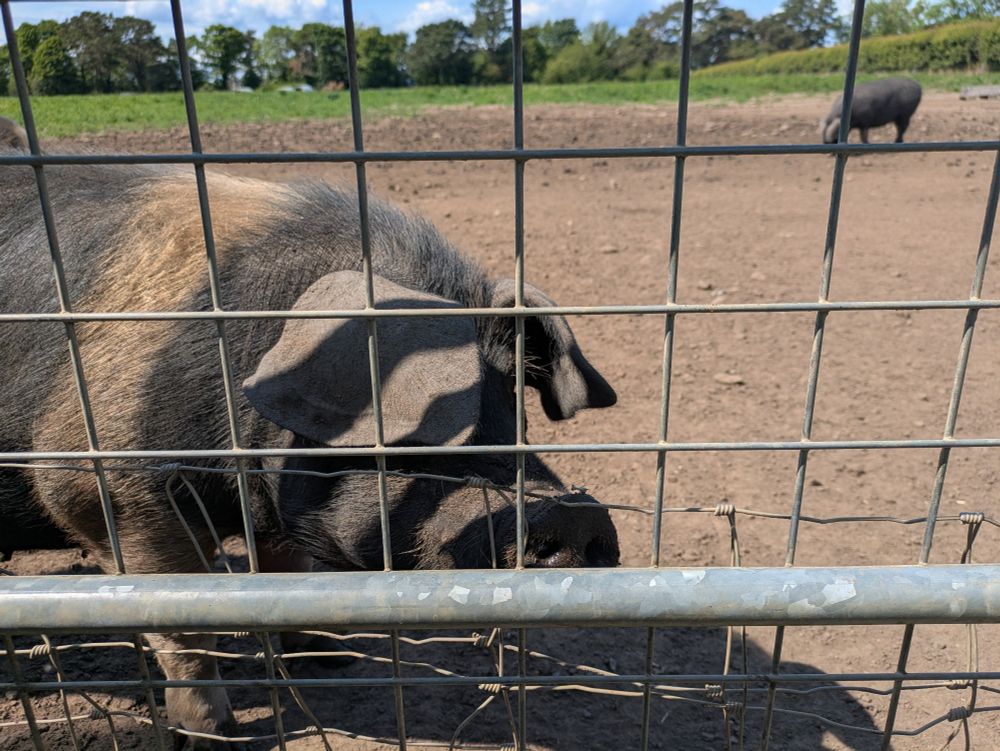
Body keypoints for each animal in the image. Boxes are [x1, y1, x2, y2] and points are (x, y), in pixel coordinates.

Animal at [0, 123, 620, 748]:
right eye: (419, 422)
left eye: (515, 406)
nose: (571, 516)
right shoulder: (103, 489)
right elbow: (182, 623)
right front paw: (210, 733)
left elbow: (289, 573)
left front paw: (331, 656)